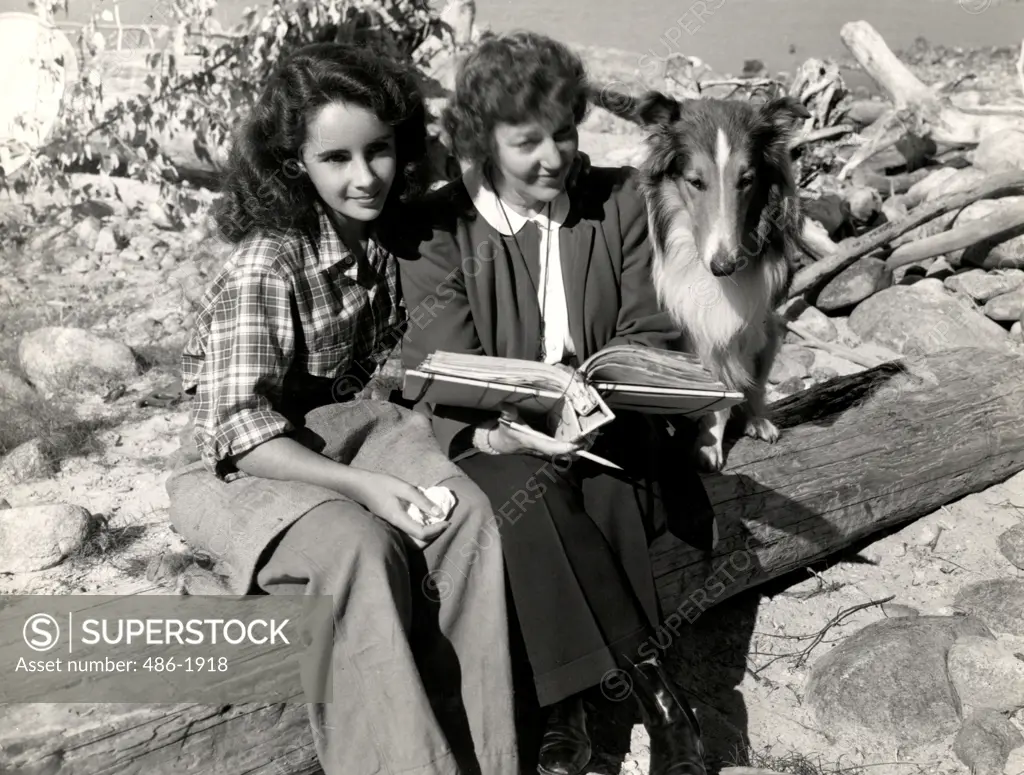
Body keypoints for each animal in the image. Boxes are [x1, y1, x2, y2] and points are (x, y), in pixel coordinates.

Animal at [598, 87, 806, 468]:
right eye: (695, 182)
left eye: (746, 180)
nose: (723, 266)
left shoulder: (741, 324)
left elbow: (731, 390)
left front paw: (715, 439)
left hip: (769, 331)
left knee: (755, 386)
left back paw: (757, 419)